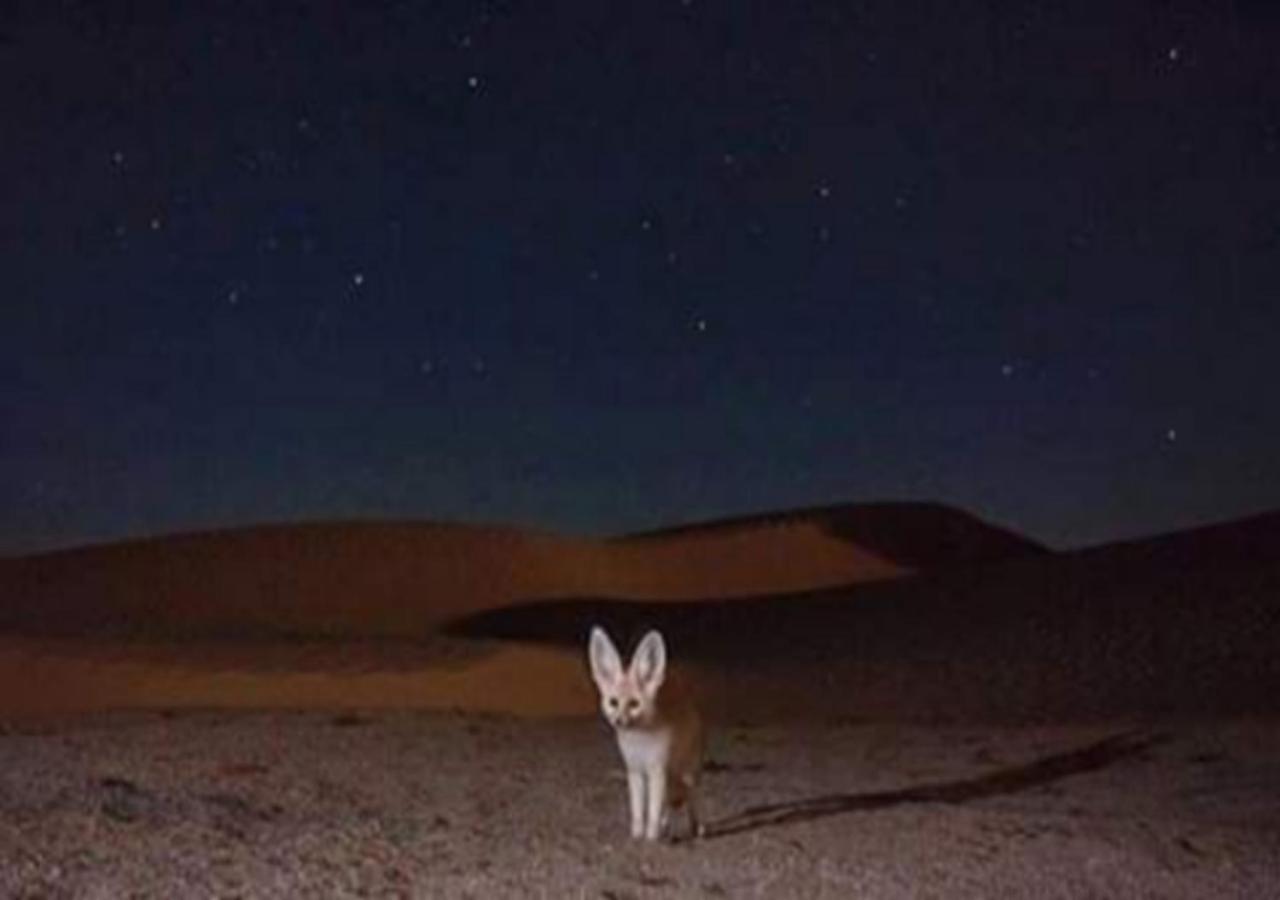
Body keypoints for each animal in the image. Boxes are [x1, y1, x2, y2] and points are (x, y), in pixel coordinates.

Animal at [586, 627, 706, 844]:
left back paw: (696, 827)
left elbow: (653, 809)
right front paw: (638, 834)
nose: (619, 721)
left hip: (688, 773)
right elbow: (638, 809)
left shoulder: (656, 770)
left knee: (693, 799)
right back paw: (666, 826)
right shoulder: (635, 771)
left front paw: (651, 838)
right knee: (670, 803)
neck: (639, 743)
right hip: (669, 775)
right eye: (613, 702)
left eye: (634, 704)